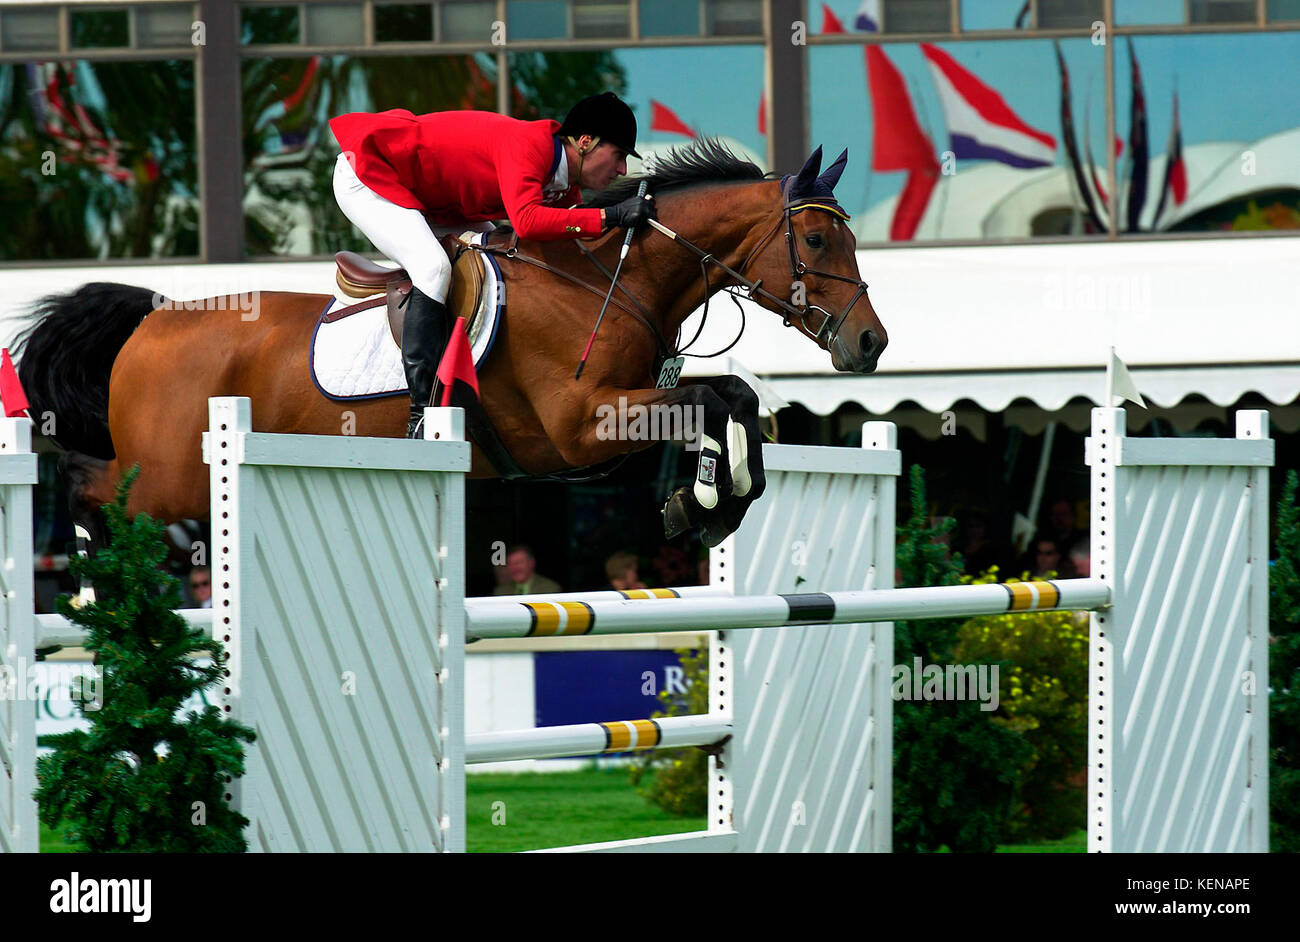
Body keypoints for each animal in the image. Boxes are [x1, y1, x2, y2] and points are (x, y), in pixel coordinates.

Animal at [17, 141, 883, 550]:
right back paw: (92, 586)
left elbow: (729, 398)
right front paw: (703, 499)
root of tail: (153, 317)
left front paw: (705, 504)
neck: (607, 275)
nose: (870, 343)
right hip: (169, 482)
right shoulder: (581, 427)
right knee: (89, 488)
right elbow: (711, 396)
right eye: (815, 239)